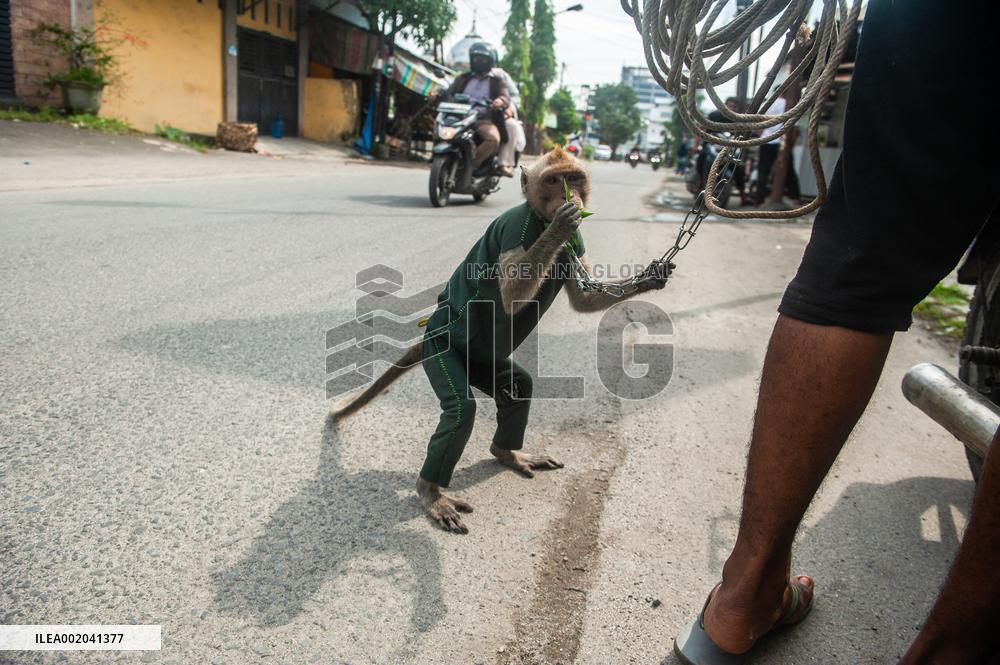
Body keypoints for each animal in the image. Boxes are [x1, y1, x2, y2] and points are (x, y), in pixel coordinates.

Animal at [333, 146, 667, 533]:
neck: (538, 216)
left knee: (518, 387)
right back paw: (430, 492)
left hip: (484, 365)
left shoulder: (576, 242)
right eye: (554, 180)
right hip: (441, 351)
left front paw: (651, 277)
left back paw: (506, 452)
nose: (570, 196)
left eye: (574, 178)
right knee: (461, 410)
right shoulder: (515, 228)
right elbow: (509, 294)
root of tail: (433, 331)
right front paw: (560, 225)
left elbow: (583, 299)